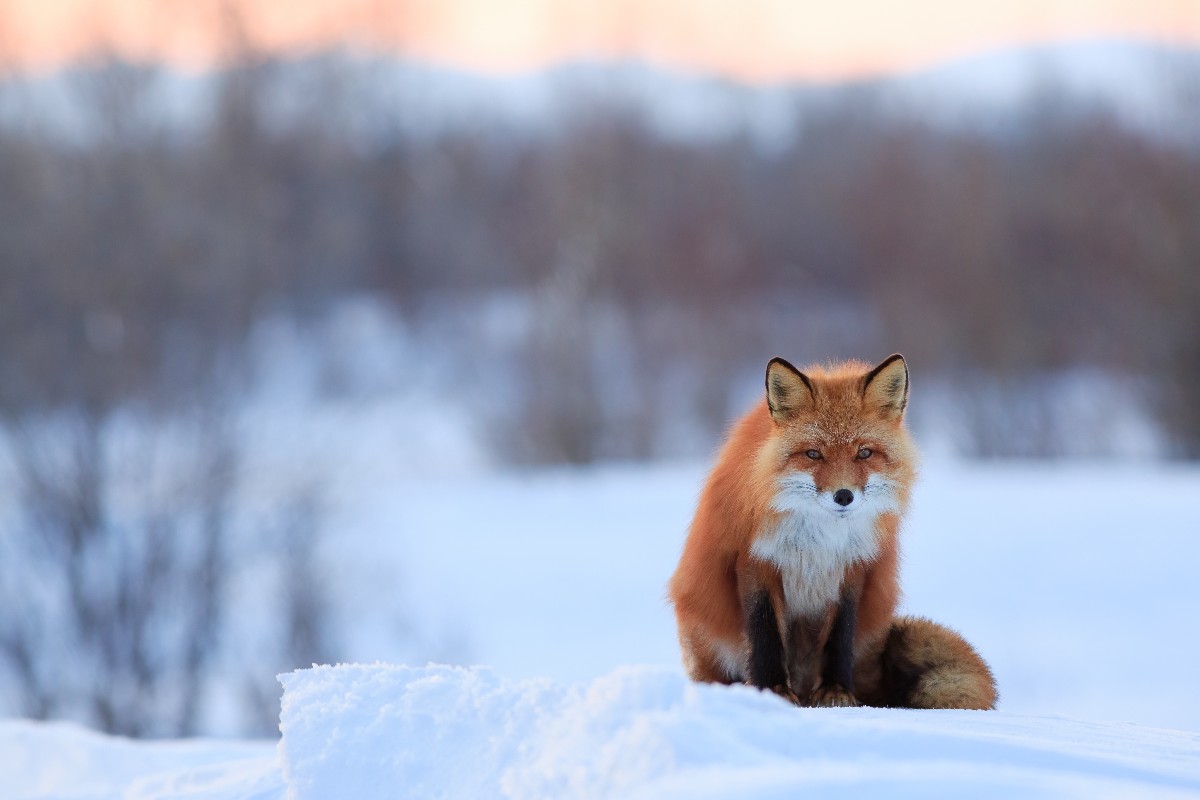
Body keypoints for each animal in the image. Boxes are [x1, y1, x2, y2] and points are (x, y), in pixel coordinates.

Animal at [672, 352, 998, 710]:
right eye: (814, 454)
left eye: (864, 453)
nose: (844, 496)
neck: (819, 541)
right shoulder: (756, 560)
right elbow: (765, 633)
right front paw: (772, 691)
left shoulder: (852, 567)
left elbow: (841, 636)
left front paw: (836, 691)